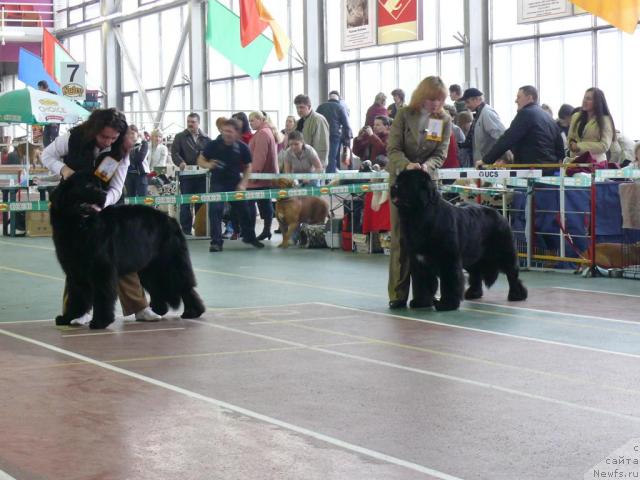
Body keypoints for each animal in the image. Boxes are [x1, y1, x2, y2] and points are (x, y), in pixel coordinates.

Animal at [50, 170, 205, 330]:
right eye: (87, 185)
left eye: (98, 185)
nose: (104, 193)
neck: (78, 225)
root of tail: (172, 220)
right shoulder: (75, 269)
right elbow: (76, 296)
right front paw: (68, 317)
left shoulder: (101, 269)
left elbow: (102, 295)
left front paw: (100, 321)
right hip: (148, 268)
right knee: (158, 289)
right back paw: (157, 310)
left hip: (168, 264)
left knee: (185, 287)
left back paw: (193, 311)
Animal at [392, 169, 528, 312]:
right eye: (398, 180)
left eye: (407, 182)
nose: (393, 187)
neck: (420, 215)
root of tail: (500, 215)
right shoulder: (419, 261)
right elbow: (422, 282)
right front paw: (421, 302)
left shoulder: (448, 259)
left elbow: (450, 282)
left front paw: (446, 304)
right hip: (473, 256)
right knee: (476, 274)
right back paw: (473, 293)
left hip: (504, 253)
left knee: (512, 274)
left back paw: (517, 295)